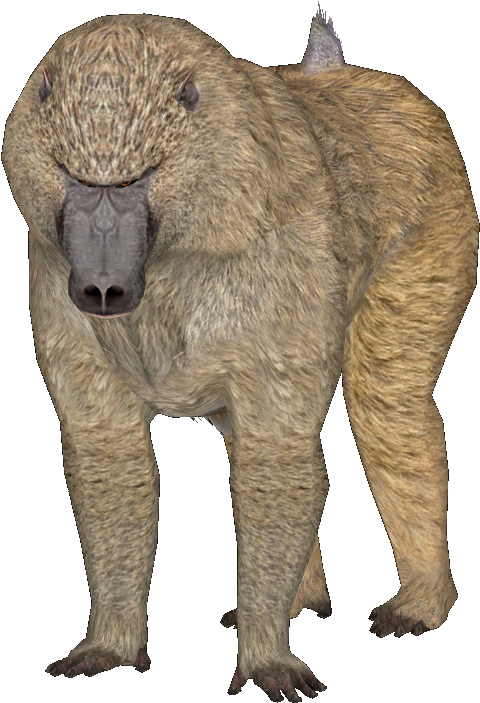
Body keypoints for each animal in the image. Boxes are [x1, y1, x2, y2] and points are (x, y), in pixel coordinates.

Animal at [2, 5, 477, 699]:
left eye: (139, 179)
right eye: (74, 177)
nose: (102, 288)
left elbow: (279, 456)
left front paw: (265, 660)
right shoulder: (53, 268)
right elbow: (110, 457)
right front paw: (110, 647)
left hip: (434, 225)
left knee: (385, 408)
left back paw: (419, 605)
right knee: (247, 439)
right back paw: (300, 601)